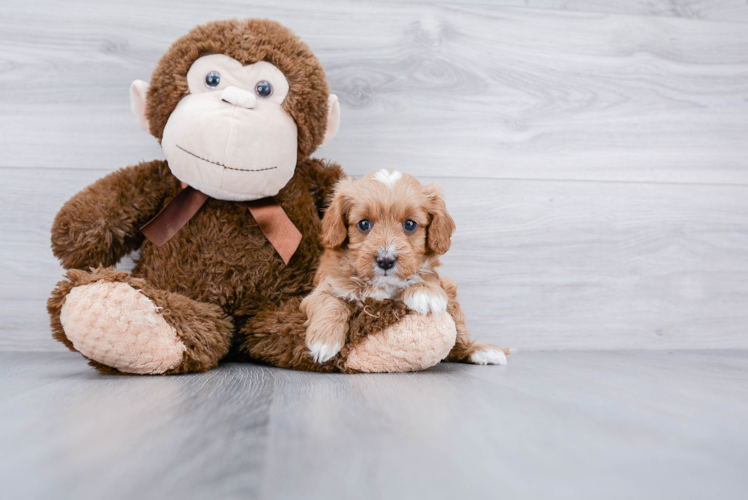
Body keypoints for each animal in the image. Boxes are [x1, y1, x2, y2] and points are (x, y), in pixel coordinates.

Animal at [300, 170, 512, 366]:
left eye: (410, 224)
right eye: (364, 224)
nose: (386, 261)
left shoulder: (436, 279)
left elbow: (427, 277)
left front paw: (425, 292)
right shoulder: (322, 288)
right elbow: (331, 303)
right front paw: (324, 342)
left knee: (459, 332)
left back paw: (481, 350)